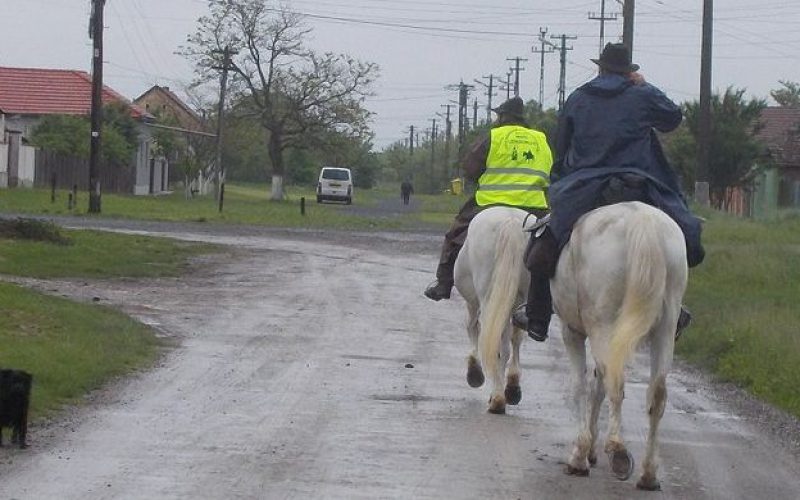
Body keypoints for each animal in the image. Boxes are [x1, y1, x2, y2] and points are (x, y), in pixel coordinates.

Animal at [456, 207, 532, 414]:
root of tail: (511, 222)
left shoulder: (473, 303)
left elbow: (473, 329)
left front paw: (474, 372)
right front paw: (513, 386)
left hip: (487, 298)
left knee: (494, 341)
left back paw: (497, 398)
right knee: (512, 341)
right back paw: (507, 391)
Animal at [552, 201, 688, 490]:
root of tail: (642, 220)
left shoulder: (572, 331)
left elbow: (581, 386)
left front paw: (580, 456)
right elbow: (596, 386)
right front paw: (590, 450)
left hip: (603, 324)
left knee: (616, 384)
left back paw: (618, 452)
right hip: (665, 327)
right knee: (656, 393)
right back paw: (648, 474)